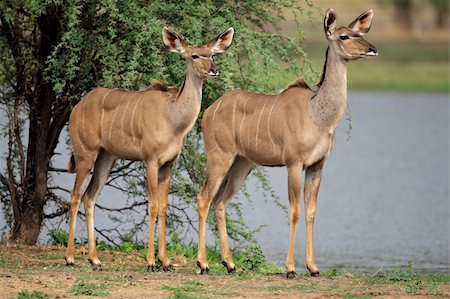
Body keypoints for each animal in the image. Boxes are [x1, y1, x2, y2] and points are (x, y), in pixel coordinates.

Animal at [66, 26, 236, 272]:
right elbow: (153, 206)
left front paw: (166, 261)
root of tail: (77, 108)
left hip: (106, 158)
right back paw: (70, 257)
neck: (173, 120)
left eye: (212, 54)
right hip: (85, 154)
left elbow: (164, 206)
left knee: (89, 197)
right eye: (194, 55)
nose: (213, 70)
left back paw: (95, 259)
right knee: (75, 195)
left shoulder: (168, 164)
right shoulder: (150, 160)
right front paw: (151, 262)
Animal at [196, 8, 376, 278]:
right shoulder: (294, 164)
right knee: (204, 198)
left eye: (360, 33)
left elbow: (311, 212)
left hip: (242, 165)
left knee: (220, 203)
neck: (317, 115)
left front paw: (313, 268)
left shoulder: (317, 166)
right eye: (344, 36)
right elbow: (295, 211)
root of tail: (208, 112)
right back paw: (203, 264)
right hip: (219, 157)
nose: (372, 49)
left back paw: (230, 264)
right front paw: (290, 268)